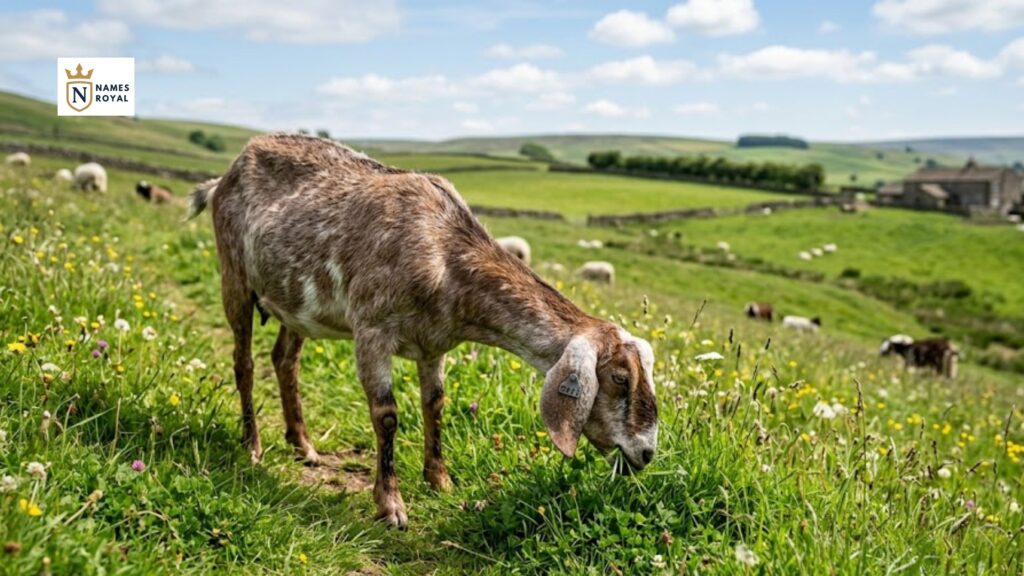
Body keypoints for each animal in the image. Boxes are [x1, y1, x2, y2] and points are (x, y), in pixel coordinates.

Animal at [186, 134, 658, 528]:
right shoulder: (371, 329)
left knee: (285, 360)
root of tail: (222, 178)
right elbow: (387, 415)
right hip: (234, 273)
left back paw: (304, 446)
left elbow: (435, 403)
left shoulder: (434, 344)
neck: (443, 252)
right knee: (244, 362)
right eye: (619, 378)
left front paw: (440, 479)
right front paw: (391, 505)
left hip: (294, 303)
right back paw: (252, 446)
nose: (646, 452)